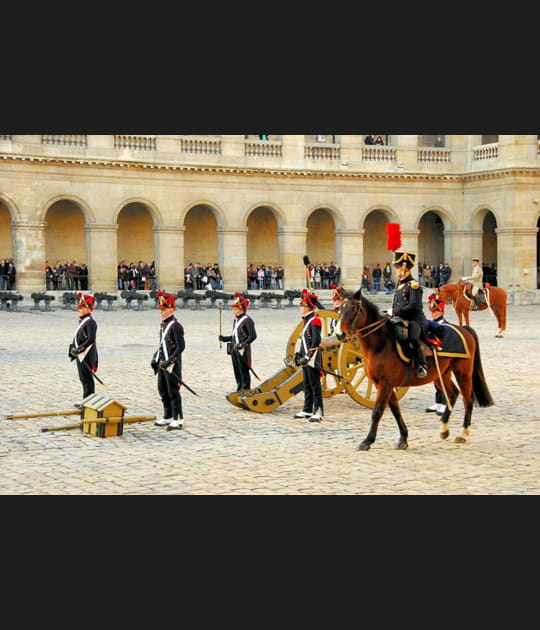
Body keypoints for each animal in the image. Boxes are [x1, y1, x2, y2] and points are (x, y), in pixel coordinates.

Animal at [336, 292, 496, 454]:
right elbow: (395, 410)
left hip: (463, 373)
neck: (381, 343)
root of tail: (463, 329)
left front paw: (367, 441)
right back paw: (444, 429)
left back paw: (463, 433)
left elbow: (377, 412)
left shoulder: (385, 384)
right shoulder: (383, 384)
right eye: (339, 309)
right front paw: (403, 439)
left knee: (467, 400)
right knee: (452, 394)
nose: (339, 334)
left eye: (353, 309)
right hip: (441, 374)